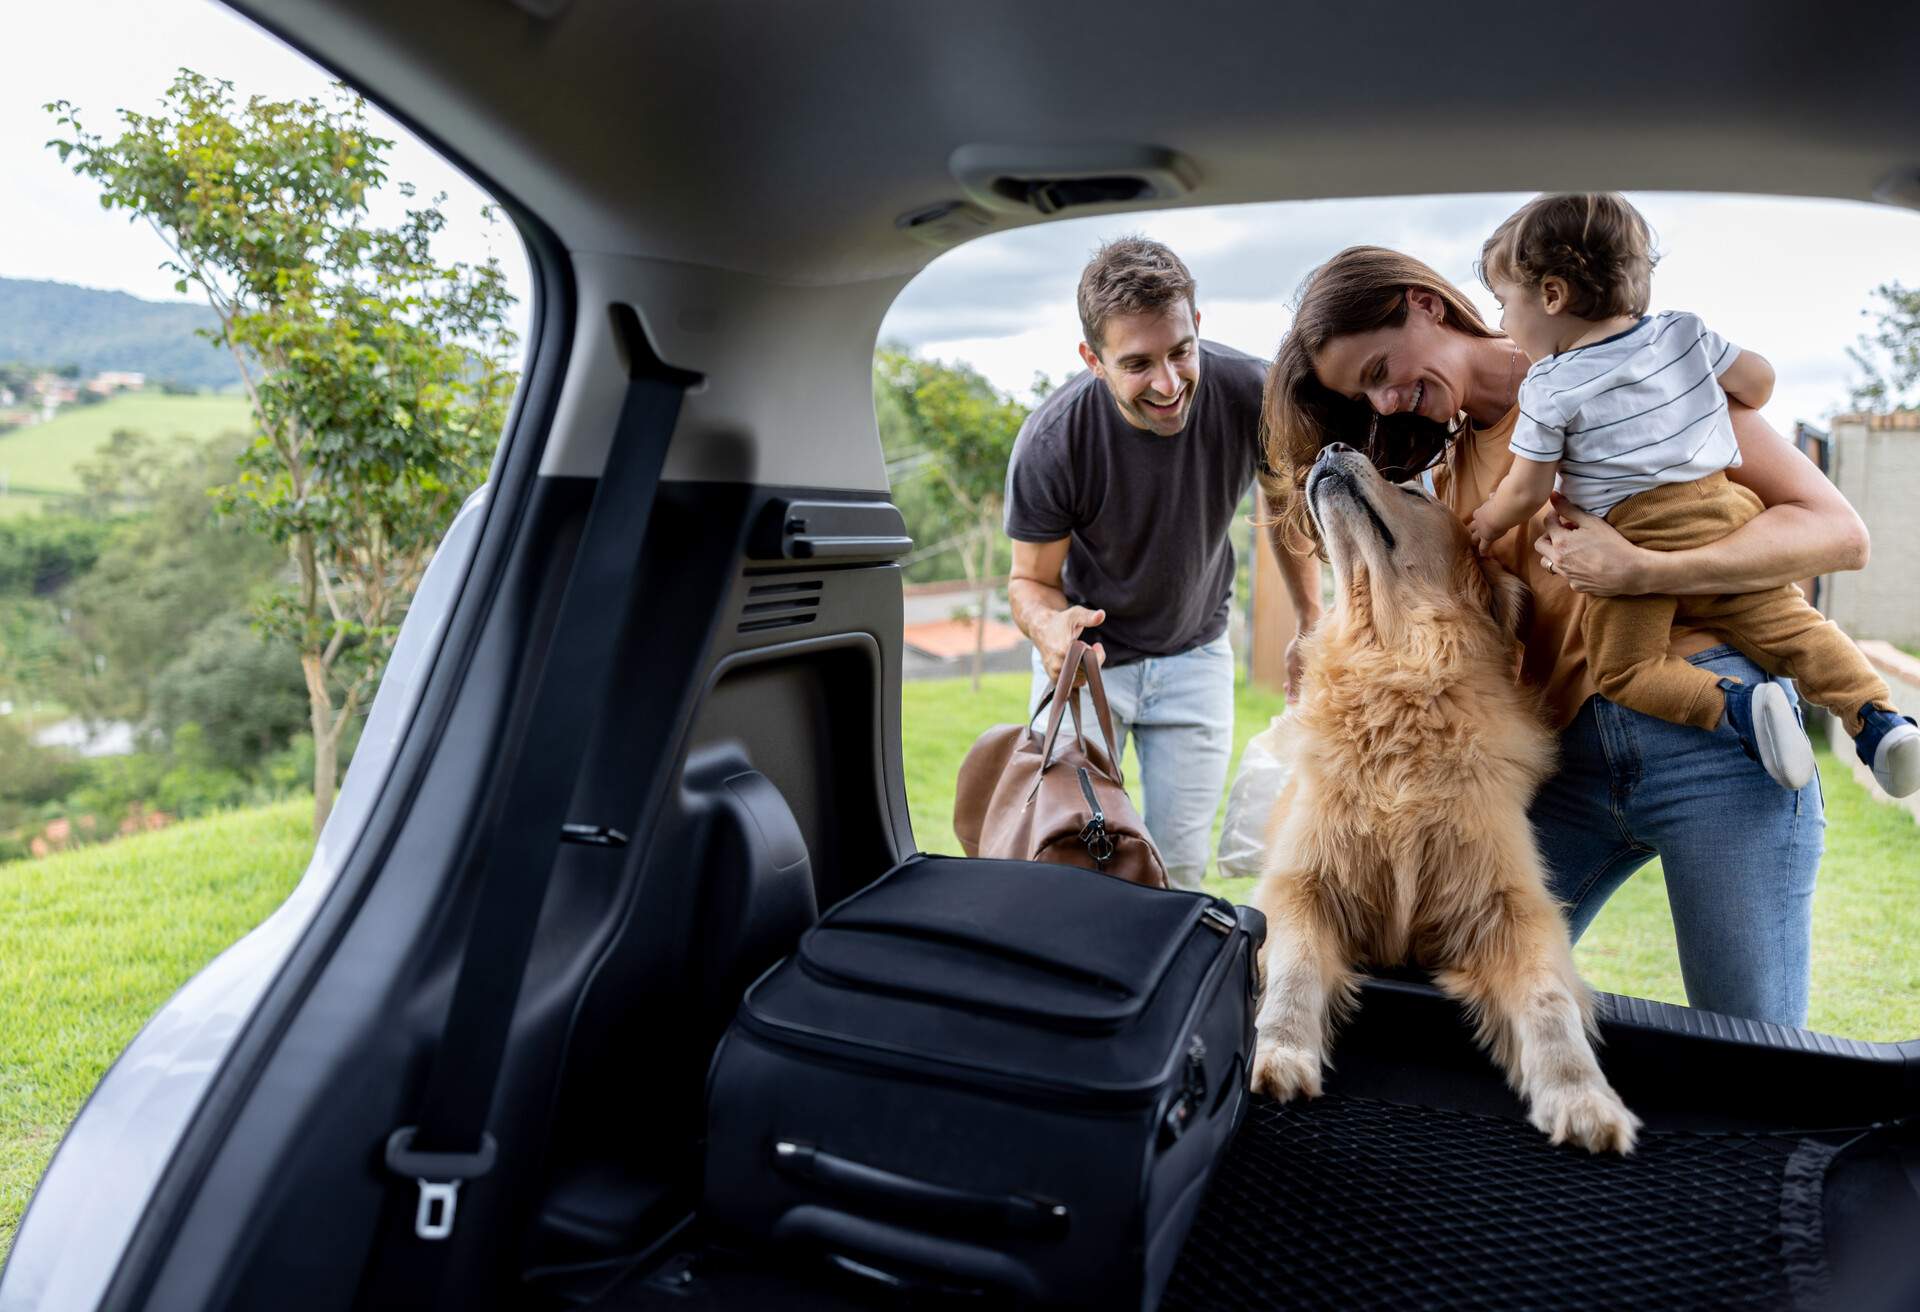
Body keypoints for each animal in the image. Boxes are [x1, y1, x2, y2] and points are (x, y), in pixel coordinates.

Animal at [1251, 445, 1643, 1152]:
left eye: (1413, 491)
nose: (1330, 449)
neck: (1398, 673)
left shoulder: (1513, 907)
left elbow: (1549, 999)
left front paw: (1580, 1095)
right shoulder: (1301, 884)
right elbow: (1294, 970)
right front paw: (1281, 1054)